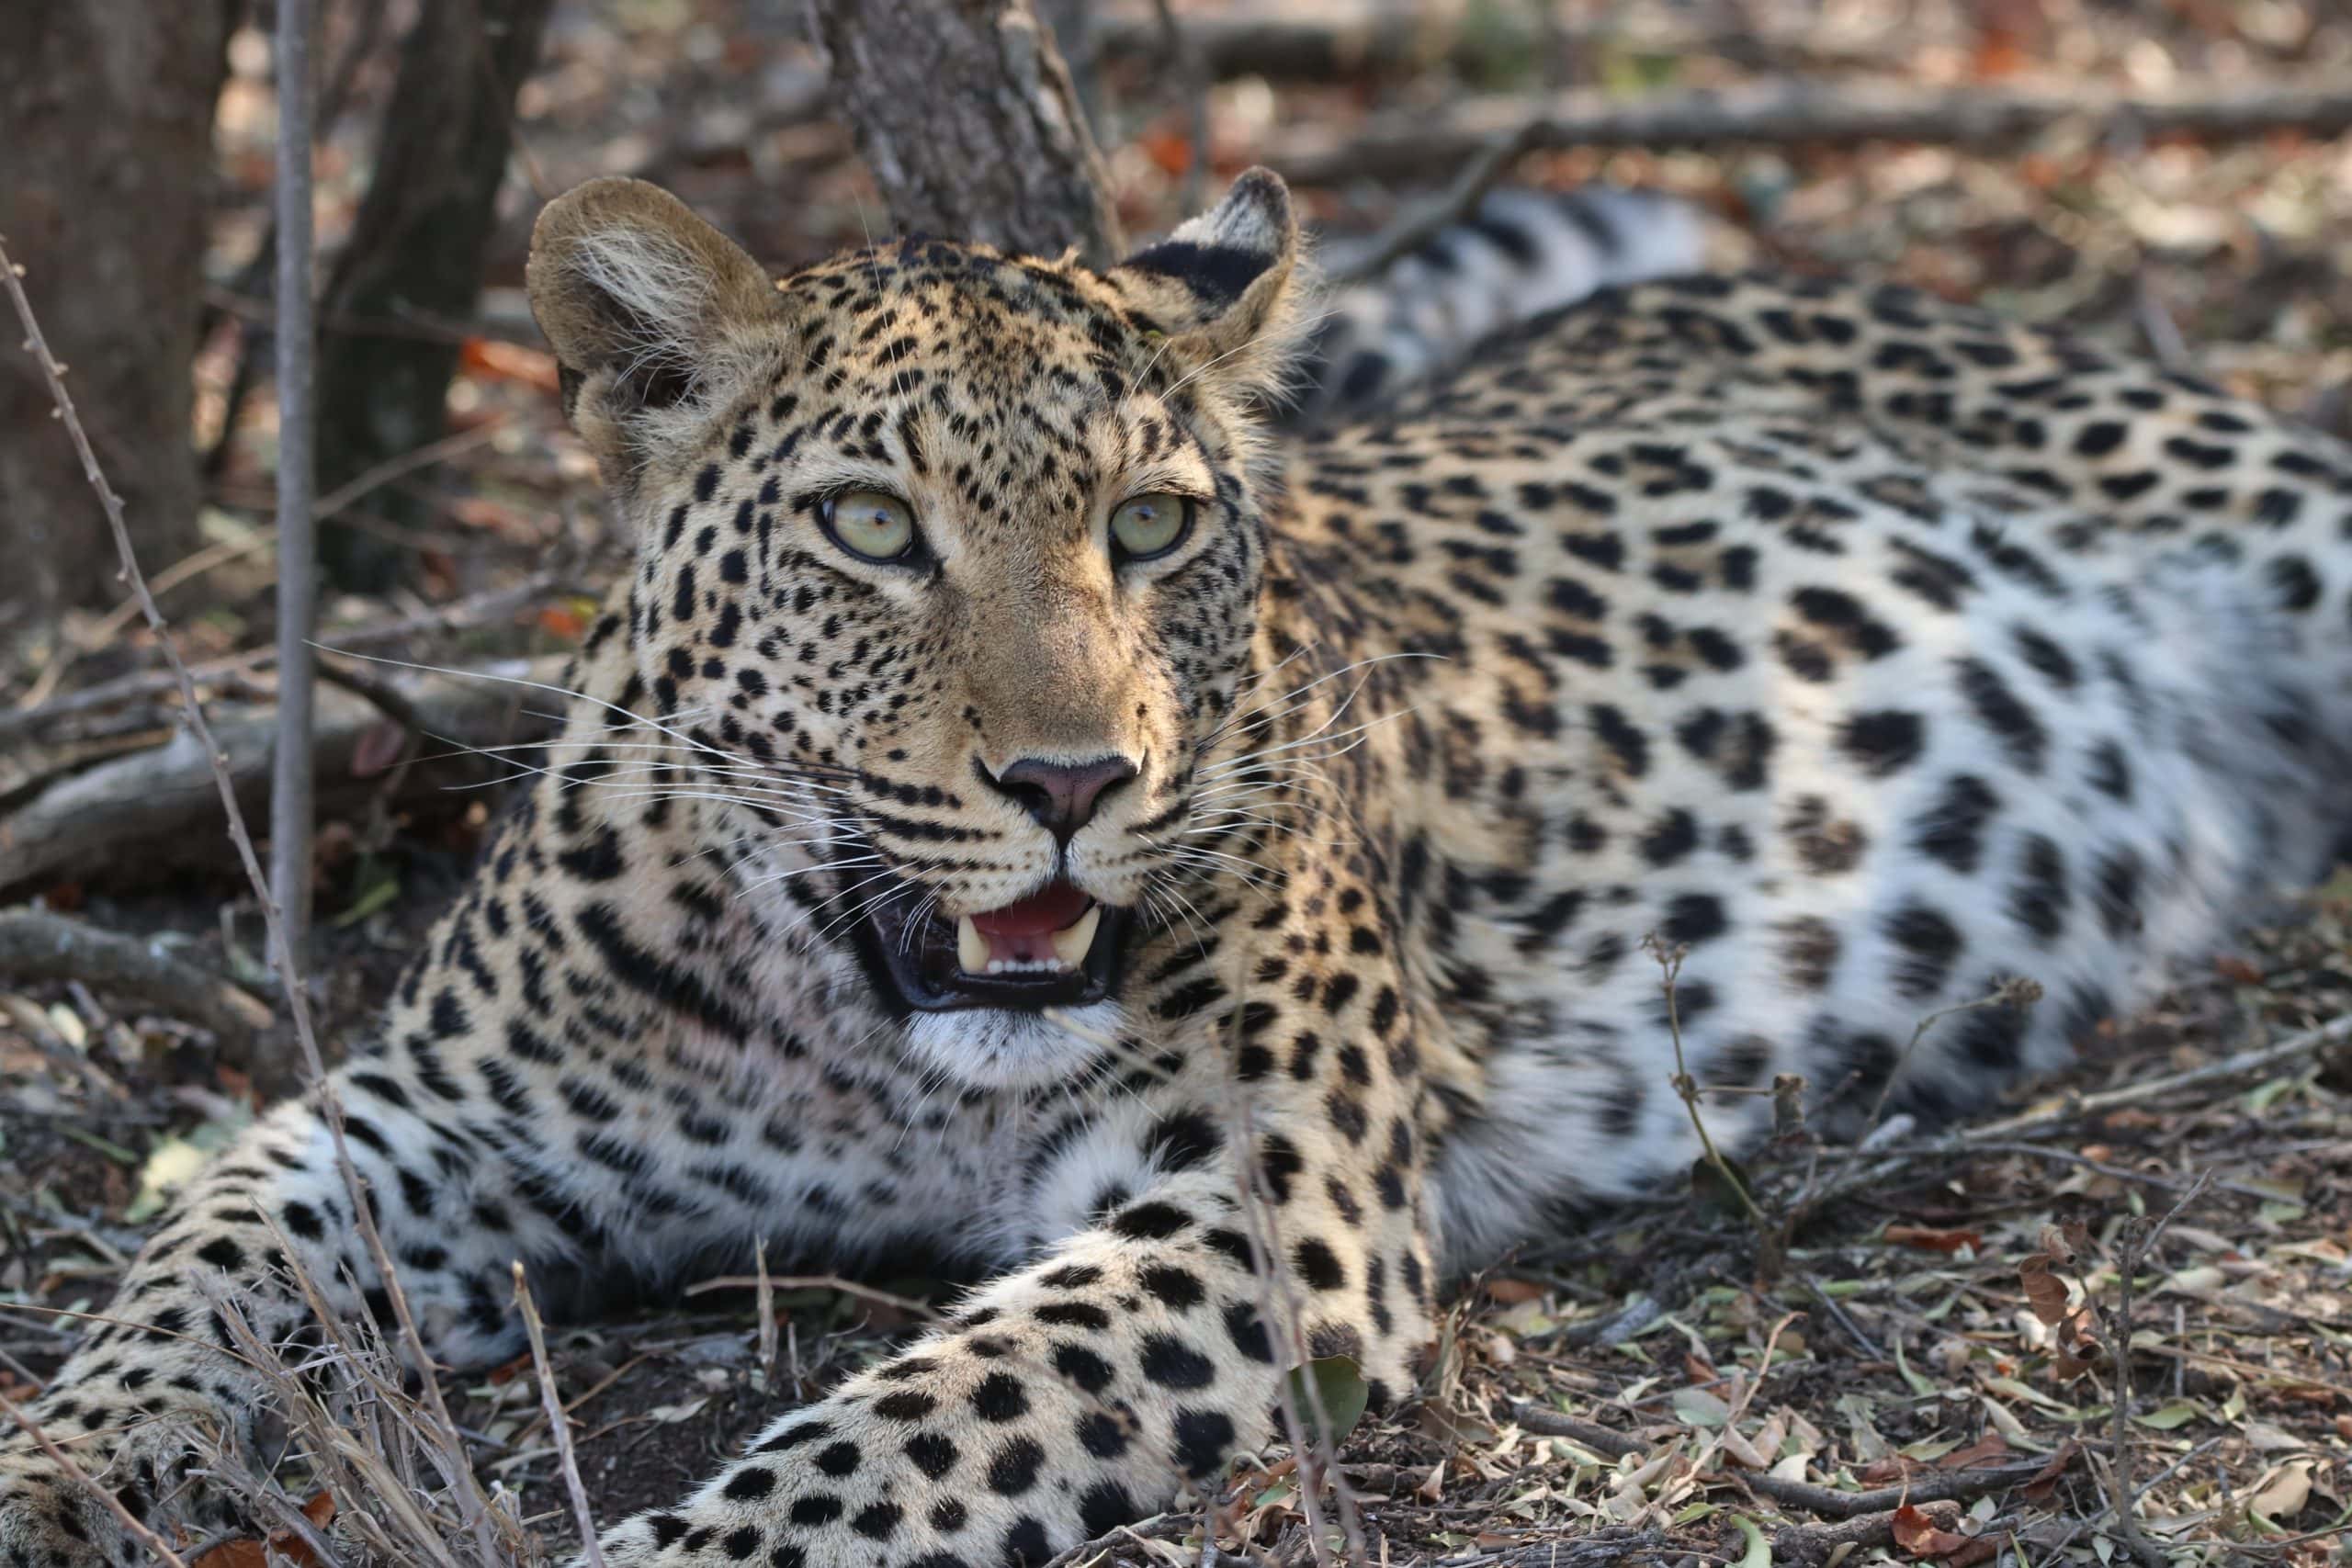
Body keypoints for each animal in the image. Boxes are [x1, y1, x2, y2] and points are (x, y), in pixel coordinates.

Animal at [5, 162, 2352, 1568]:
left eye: (1149, 523)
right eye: (870, 526)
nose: (1070, 777)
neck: (854, 1028)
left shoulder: (1257, 1206)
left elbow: (882, 1441)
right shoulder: (420, 1116)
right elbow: (182, 1280)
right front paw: (56, 1473)